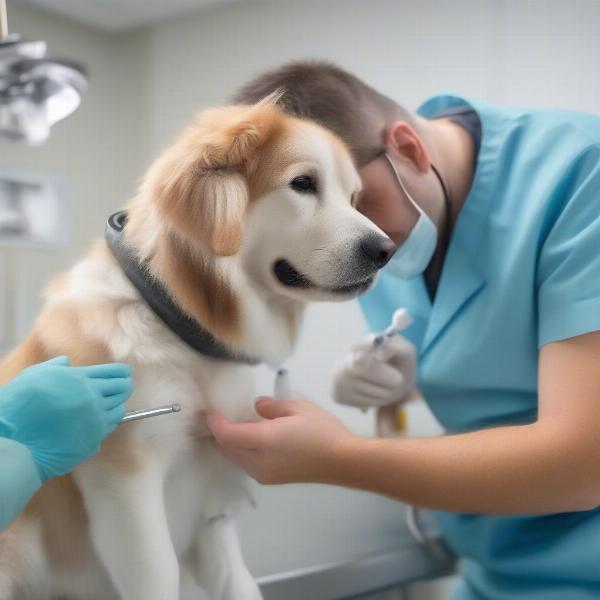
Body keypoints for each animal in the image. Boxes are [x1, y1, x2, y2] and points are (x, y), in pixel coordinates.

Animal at [0, 95, 394, 600]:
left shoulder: (216, 506)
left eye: (353, 199)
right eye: (303, 183)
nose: (385, 250)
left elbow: (238, 581)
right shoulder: (125, 487)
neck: (181, 331)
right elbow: (159, 575)